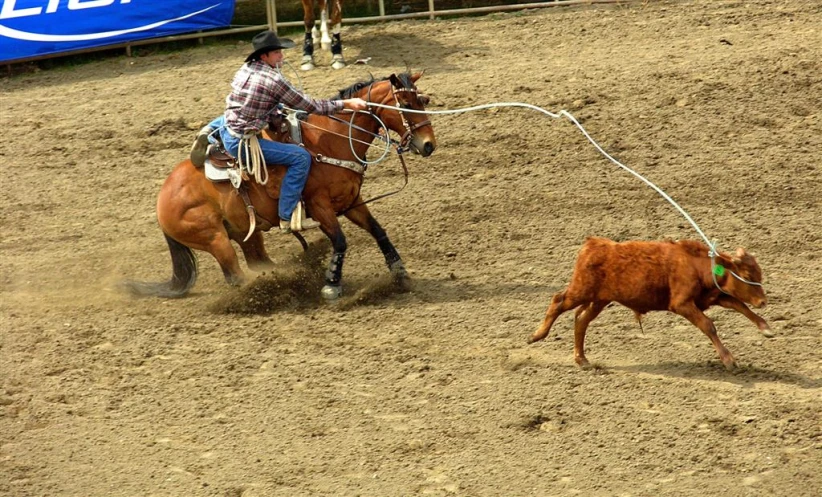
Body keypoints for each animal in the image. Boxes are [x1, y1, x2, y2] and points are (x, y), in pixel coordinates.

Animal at [127, 72, 438, 300]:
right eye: (406, 104)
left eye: (422, 100)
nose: (428, 145)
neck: (330, 140)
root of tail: (163, 197)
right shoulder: (320, 206)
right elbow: (340, 240)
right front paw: (331, 284)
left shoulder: (351, 201)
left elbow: (377, 230)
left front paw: (399, 272)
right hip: (214, 238)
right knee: (235, 274)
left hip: (247, 233)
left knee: (256, 261)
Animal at [532, 236, 776, 368]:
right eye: (748, 274)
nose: (763, 301)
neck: (695, 265)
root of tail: (592, 244)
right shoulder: (682, 304)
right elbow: (708, 325)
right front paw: (728, 359)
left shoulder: (713, 297)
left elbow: (740, 305)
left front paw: (766, 328)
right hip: (580, 291)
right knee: (558, 301)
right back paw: (537, 335)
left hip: (599, 300)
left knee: (581, 320)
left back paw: (582, 359)